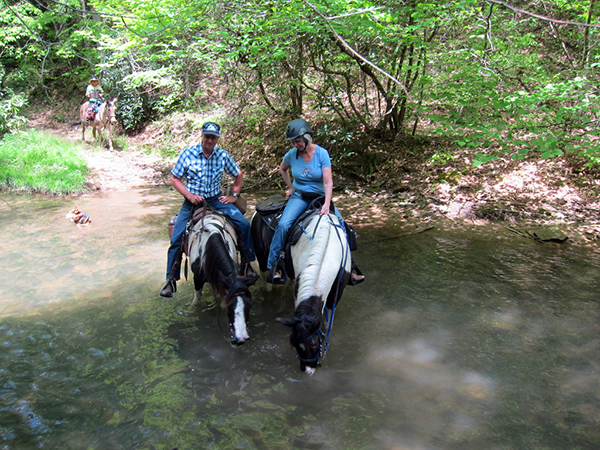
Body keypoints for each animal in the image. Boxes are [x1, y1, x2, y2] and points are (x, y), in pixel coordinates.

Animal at [250, 200, 352, 372]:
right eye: (294, 343)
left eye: (314, 344)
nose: (308, 370)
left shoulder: (337, 293)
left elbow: (328, 322)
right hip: (263, 264)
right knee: (267, 285)